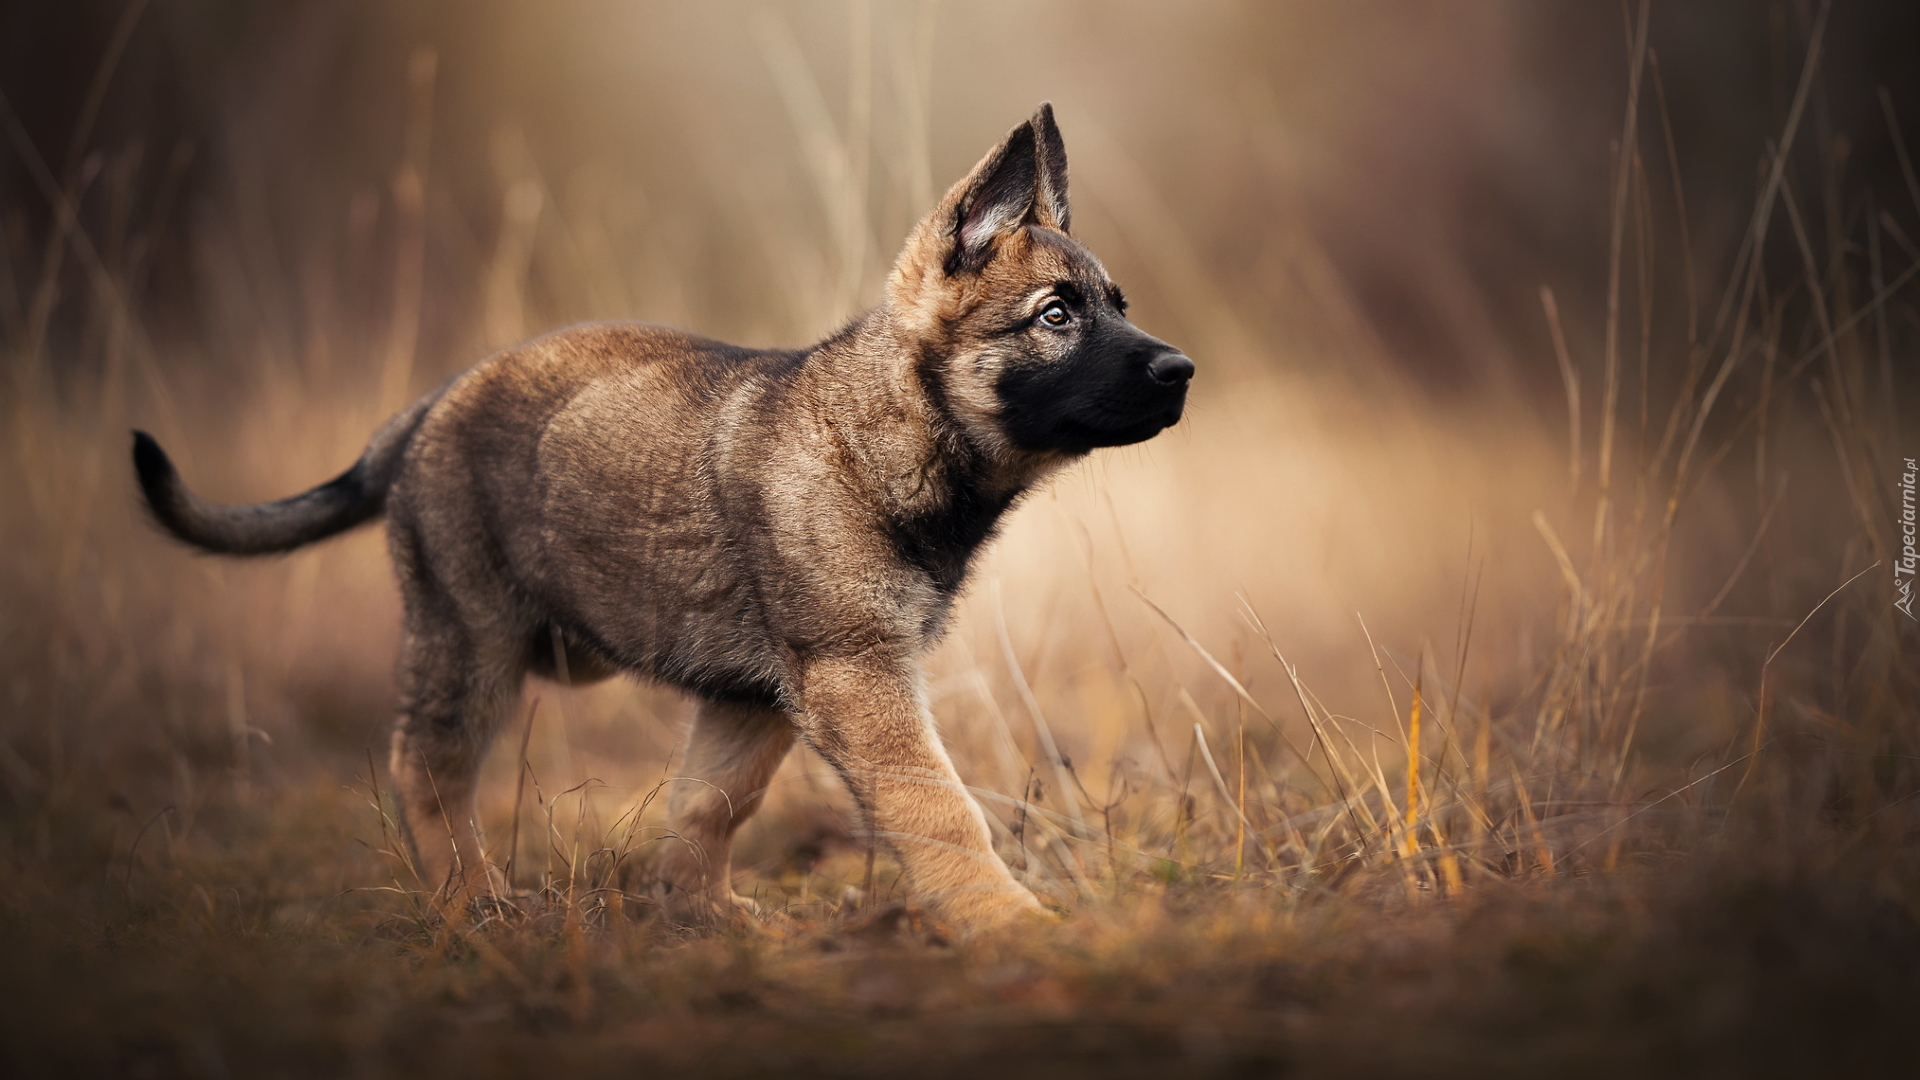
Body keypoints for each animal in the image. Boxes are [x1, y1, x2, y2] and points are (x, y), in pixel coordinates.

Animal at [131, 102, 1182, 926]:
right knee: (426, 765)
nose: (1182, 371)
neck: (889, 430)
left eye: (1119, 306)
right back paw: (471, 901)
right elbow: (939, 810)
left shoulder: (757, 695)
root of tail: (428, 407)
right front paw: (1010, 925)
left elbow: (709, 804)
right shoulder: (857, 673)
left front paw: (702, 913)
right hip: (469, 634)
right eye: (1055, 315)